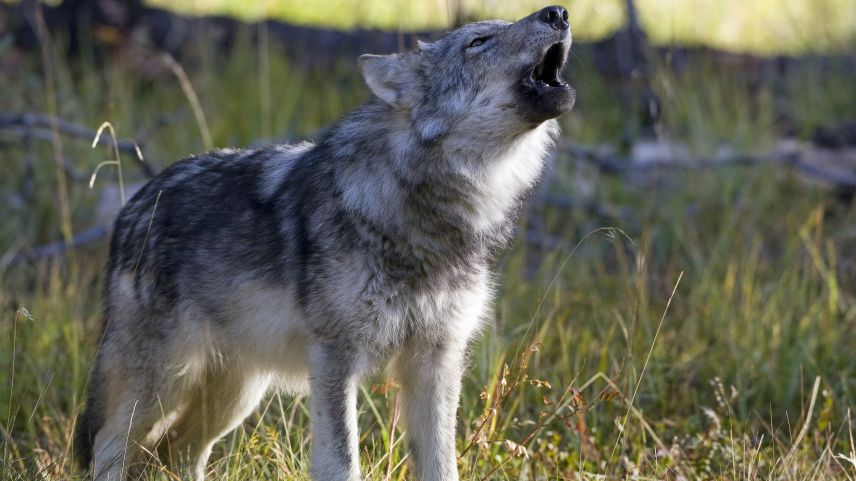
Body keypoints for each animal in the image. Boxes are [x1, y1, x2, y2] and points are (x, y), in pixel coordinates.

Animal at [75, 4, 576, 480]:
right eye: (478, 41)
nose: (558, 12)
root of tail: (134, 207)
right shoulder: (336, 356)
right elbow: (341, 462)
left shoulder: (435, 360)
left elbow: (442, 466)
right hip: (164, 381)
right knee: (109, 445)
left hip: (235, 395)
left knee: (178, 453)